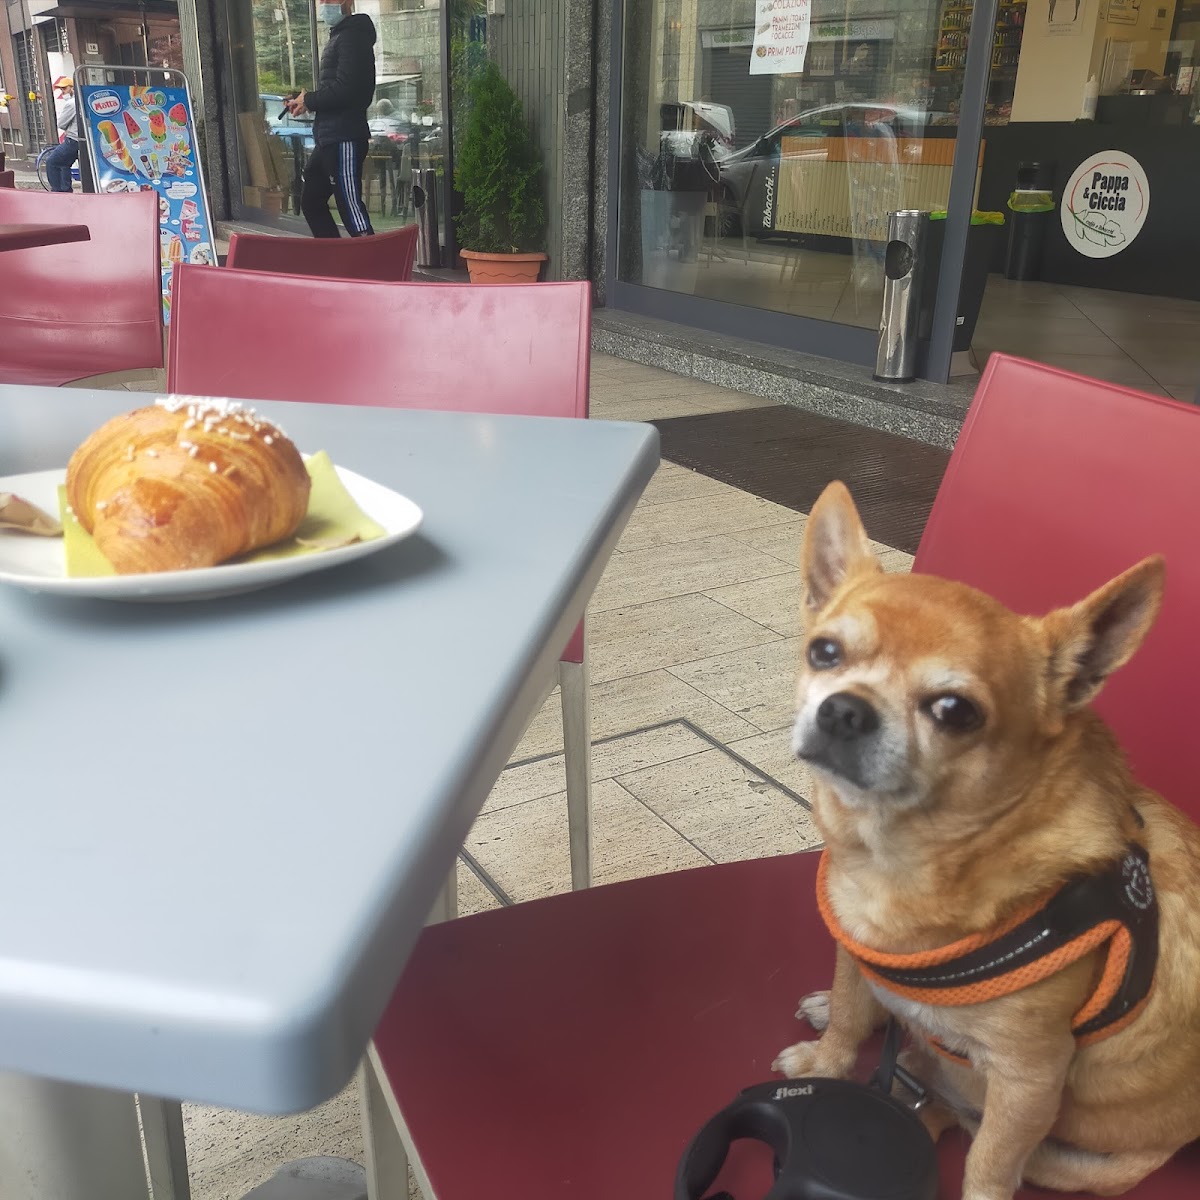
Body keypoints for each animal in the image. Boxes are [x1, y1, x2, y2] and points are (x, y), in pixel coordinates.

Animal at [773, 481, 1200, 1200]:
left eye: (954, 711)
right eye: (824, 652)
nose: (844, 709)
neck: (897, 861)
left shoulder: (1028, 1081)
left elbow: (991, 1163)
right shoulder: (853, 949)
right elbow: (851, 1017)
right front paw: (826, 1058)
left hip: (1081, 1160)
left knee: (957, 1117)